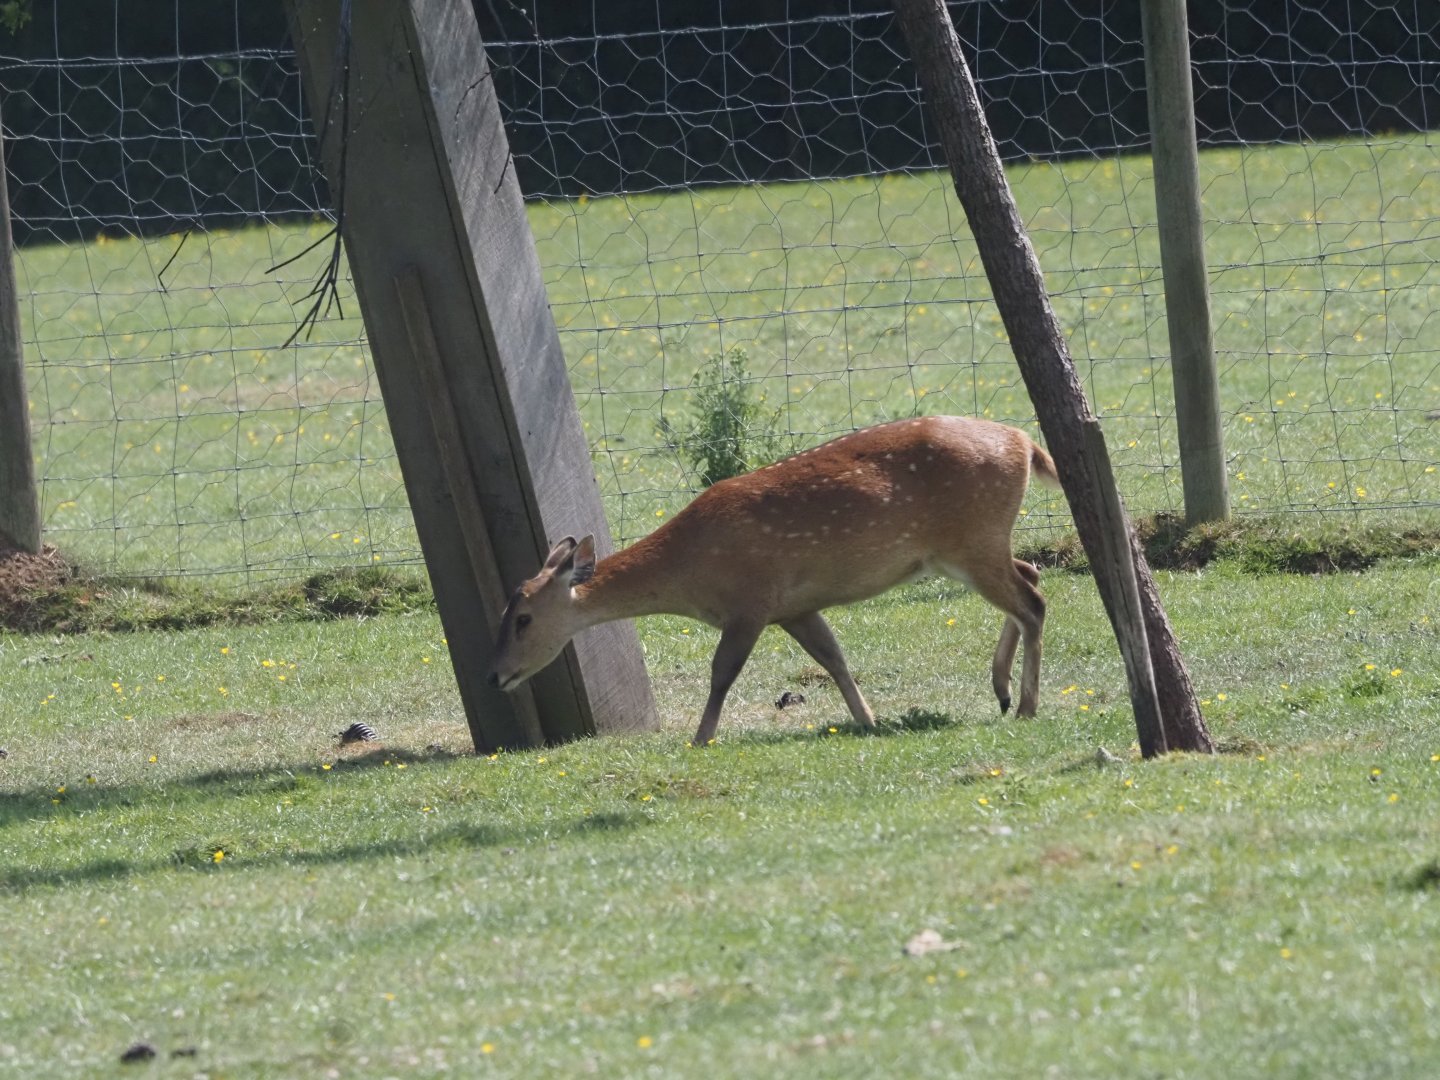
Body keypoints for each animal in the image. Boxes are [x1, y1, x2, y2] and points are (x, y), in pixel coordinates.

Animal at [488, 415, 1061, 746]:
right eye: (504, 611)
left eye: (523, 618)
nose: (496, 676)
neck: (689, 573)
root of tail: (1025, 443)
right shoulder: (794, 606)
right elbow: (834, 658)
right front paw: (868, 720)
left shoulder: (751, 602)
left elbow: (722, 672)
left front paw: (700, 738)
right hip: (969, 545)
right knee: (1031, 575)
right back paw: (1001, 691)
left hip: (971, 537)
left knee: (1031, 601)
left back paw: (1025, 706)